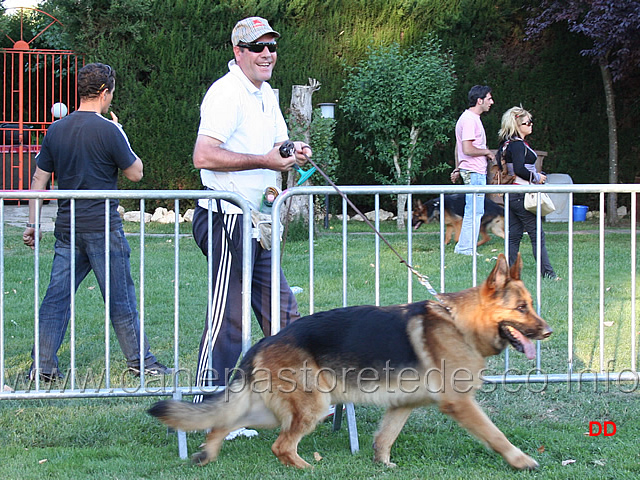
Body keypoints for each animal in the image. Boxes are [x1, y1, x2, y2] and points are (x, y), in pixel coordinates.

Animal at [149, 253, 552, 470]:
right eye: (521, 308)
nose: (547, 332)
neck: (462, 324)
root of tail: (265, 342)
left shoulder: (402, 404)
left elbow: (385, 437)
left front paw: (383, 464)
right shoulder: (461, 404)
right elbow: (495, 434)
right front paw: (521, 461)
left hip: (271, 410)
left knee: (224, 423)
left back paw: (207, 453)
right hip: (313, 406)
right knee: (281, 446)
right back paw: (306, 468)